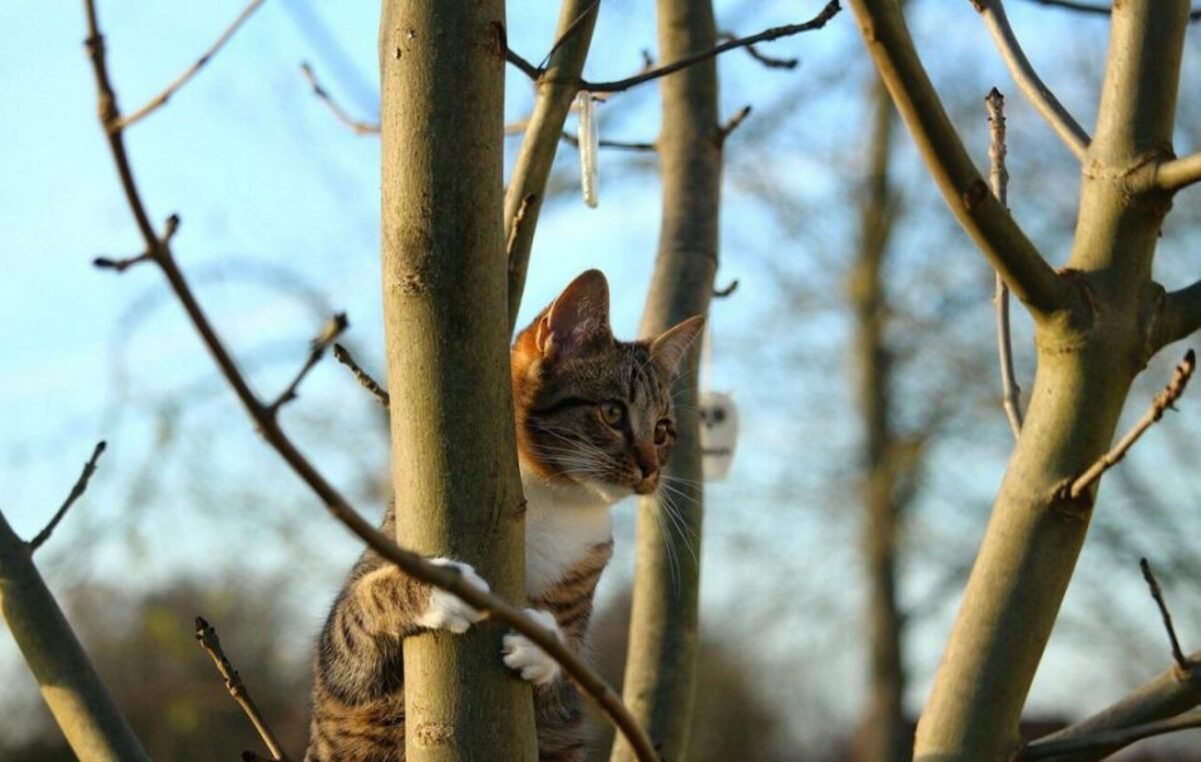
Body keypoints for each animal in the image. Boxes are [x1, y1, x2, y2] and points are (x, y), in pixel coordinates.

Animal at [300, 270, 706, 754]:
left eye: (663, 431)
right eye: (612, 412)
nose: (651, 470)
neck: (558, 502)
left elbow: (570, 668)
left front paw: (544, 643)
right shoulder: (340, 672)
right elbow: (356, 615)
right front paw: (439, 586)